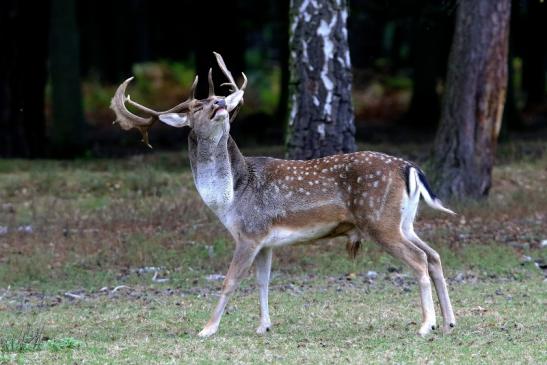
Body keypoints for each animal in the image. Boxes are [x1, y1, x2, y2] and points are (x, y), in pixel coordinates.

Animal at [109, 52, 456, 336]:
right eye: (197, 106)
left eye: (219, 97)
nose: (220, 105)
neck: (230, 198)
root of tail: (409, 167)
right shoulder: (265, 241)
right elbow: (263, 281)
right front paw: (264, 326)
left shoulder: (249, 232)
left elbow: (230, 280)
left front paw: (207, 329)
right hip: (403, 221)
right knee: (434, 255)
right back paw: (450, 322)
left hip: (379, 220)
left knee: (419, 259)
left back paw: (427, 325)